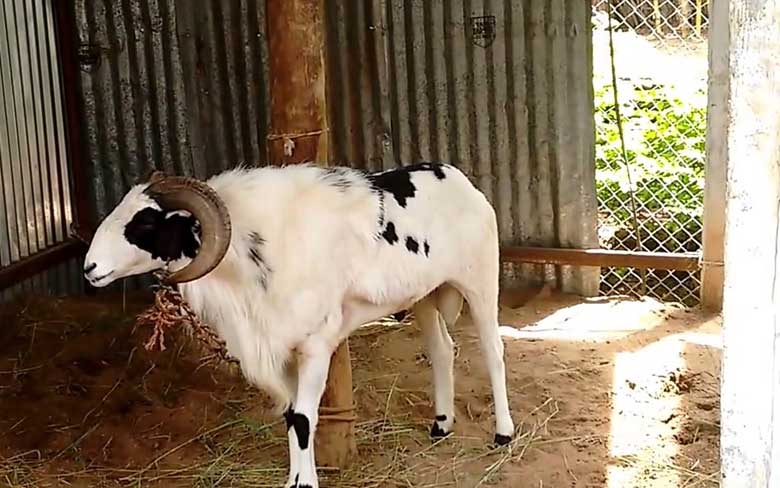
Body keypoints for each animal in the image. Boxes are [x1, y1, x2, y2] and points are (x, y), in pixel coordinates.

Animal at [84, 163, 512, 488]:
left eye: (145, 224)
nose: (90, 268)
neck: (251, 252)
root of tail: (457, 178)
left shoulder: (315, 346)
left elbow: (305, 420)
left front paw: (305, 484)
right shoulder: (282, 346)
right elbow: (292, 417)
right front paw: (294, 480)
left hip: (479, 280)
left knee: (493, 352)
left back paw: (503, 434)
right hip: (424, 295)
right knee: (442, 349)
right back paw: (442, 424)